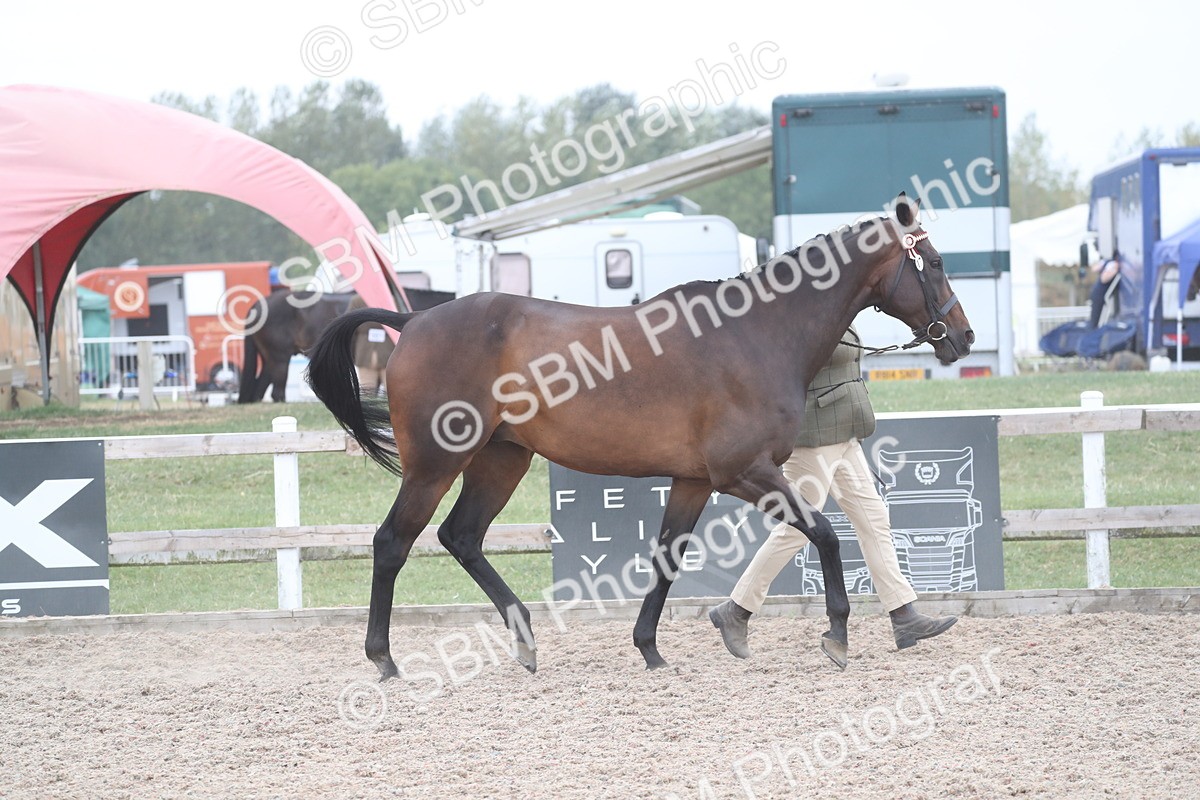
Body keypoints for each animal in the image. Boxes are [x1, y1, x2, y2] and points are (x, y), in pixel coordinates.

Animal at [305, 196, 974, 679]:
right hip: (436, 464)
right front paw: (836, 635)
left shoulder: (694, 480)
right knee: (393, 542)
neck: (755, 334)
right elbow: (827, 535)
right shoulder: (746, 472)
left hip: (501, 460)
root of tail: (415, 320)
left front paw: (650, 648)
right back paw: (384, 659)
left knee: (461, 537)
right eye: (937, 263)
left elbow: (668, 556)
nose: (963, 337)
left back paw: (524, 640)